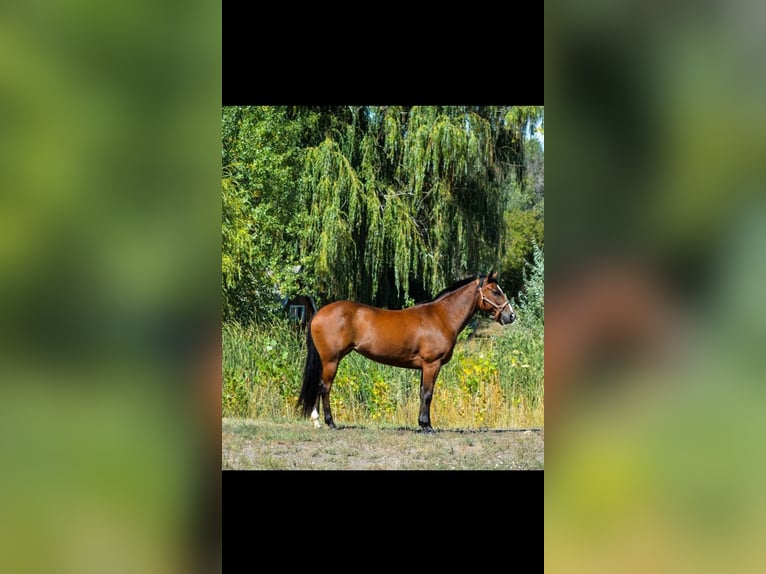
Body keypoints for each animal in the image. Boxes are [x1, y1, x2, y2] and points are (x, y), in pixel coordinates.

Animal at [296, 271, 515, 432]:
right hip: (331, 360)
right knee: (325, 387)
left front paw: (422, 424)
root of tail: (319, 313)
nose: (510, 315)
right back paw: (330, 422)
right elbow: (428, 394)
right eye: (495, 292)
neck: (442, 317)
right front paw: (427, 426)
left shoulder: (424, 367)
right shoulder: (431, 364)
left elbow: (421, 393)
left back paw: (317, 420)